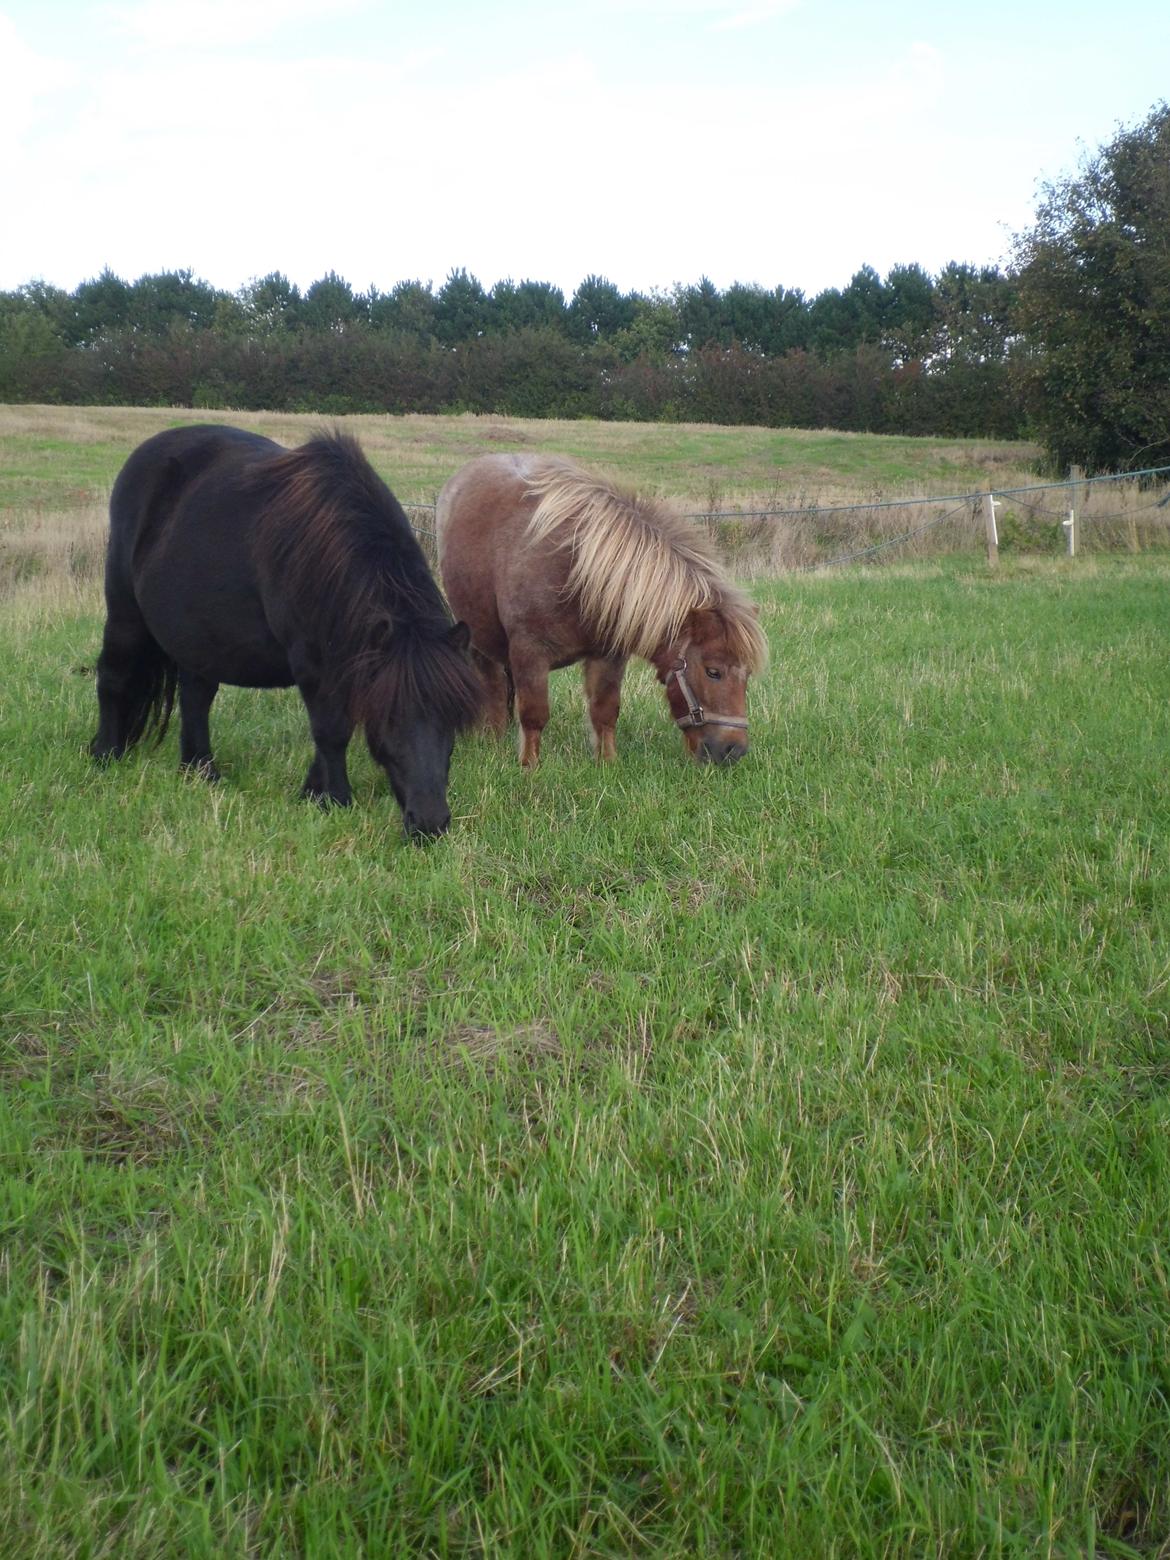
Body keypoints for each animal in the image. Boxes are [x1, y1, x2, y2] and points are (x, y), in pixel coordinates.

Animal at [86, 424, 480, 842]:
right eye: (388, 716)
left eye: (453, 715)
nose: (430, 823)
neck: (325, 549)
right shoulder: (312, 662)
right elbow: (331, 730)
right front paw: (335, 799)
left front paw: (312, 791)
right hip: (125, 611)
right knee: (113, 677)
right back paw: (106, 754)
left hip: (197, 637)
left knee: (195, 697)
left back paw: (201, 770)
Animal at [439, 452, 770, 767]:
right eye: (713, 672)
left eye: (747, 674)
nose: (733, 750)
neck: (577, 573)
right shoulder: (529, 653)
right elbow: (534, 714)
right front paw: (529, 766)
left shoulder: (609, 656)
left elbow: (605, 711)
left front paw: (607, 762)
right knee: (493, 686)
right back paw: (491, 739)